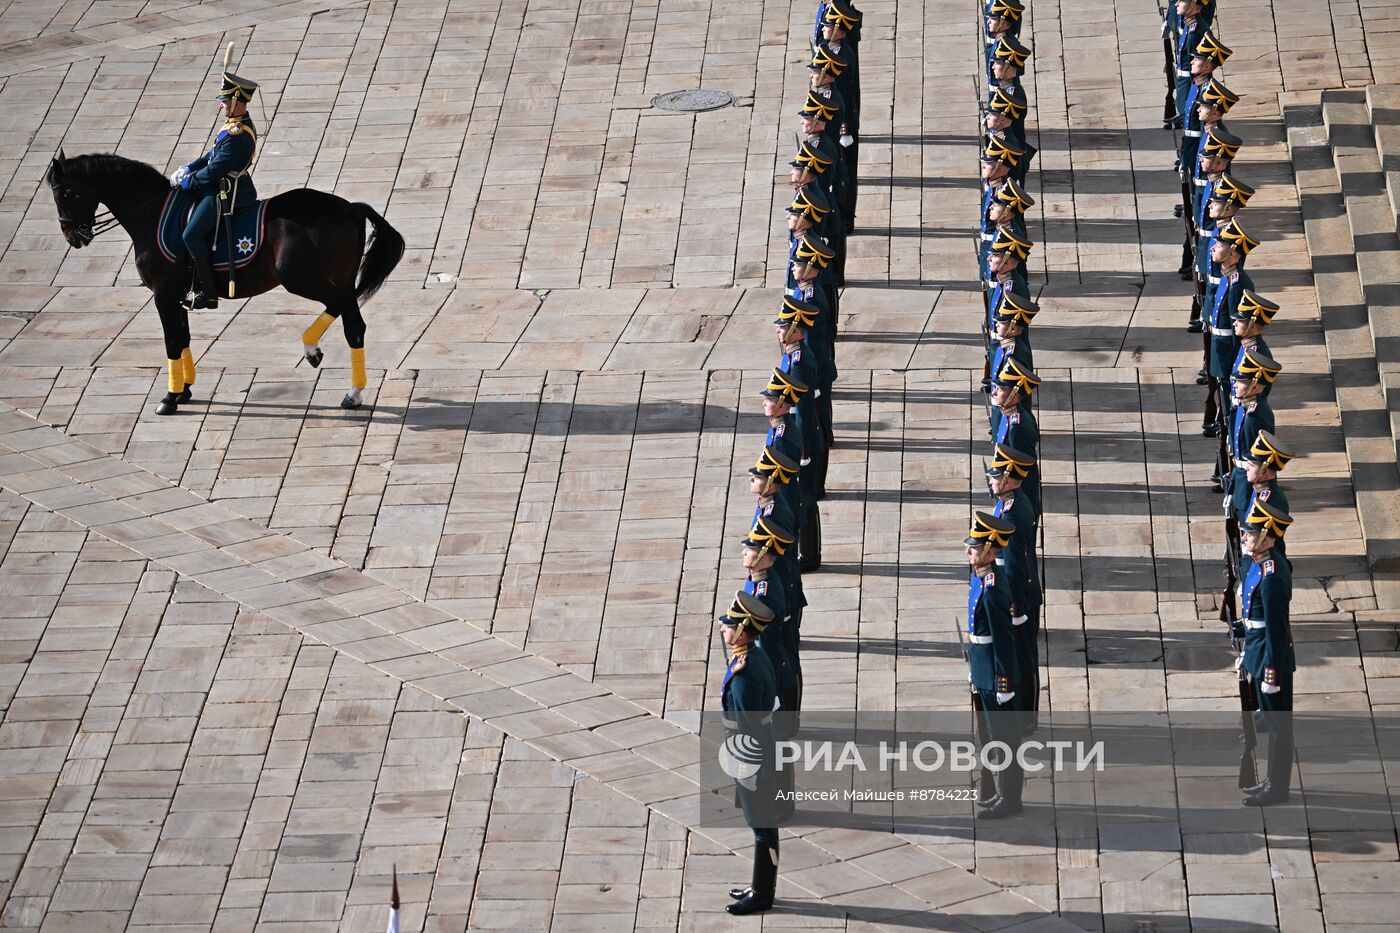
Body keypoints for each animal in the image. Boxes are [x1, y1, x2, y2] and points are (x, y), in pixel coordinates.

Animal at [45, 150, 406, 411]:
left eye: (64, 193)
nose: (72, 236)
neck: (151, 213)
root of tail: (350, 207)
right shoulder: (178, 296)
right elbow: (184, 337)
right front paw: (185, 390)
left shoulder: (163, 294)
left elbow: (172, 341)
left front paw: (170, 398)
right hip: (334, 279)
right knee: (350, 319)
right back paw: (338, 377)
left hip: (301, 278)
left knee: (345, 312)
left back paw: (333, 370)